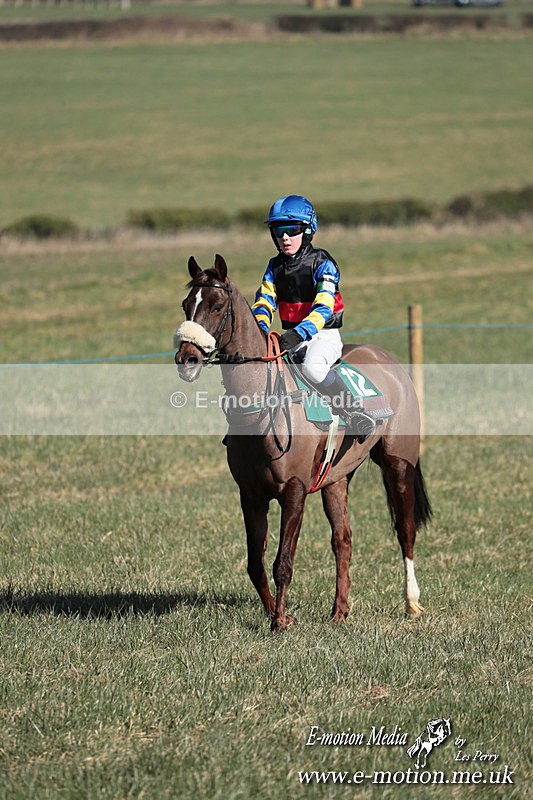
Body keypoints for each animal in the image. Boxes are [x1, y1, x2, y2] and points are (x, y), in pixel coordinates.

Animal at [174, 254, 431, 633]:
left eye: (217, 305)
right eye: (186, 304)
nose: (187, 358)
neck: (262, 408)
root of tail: (387, 358)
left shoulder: (293, 490)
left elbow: (283, 561)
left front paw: (280, 620)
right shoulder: (251, 493)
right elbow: (255, 563)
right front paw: (276, 613)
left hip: (398, 462)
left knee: (405, 530)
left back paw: (411, 603)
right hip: (335, 479)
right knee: (343, 540)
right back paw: (339, 611)